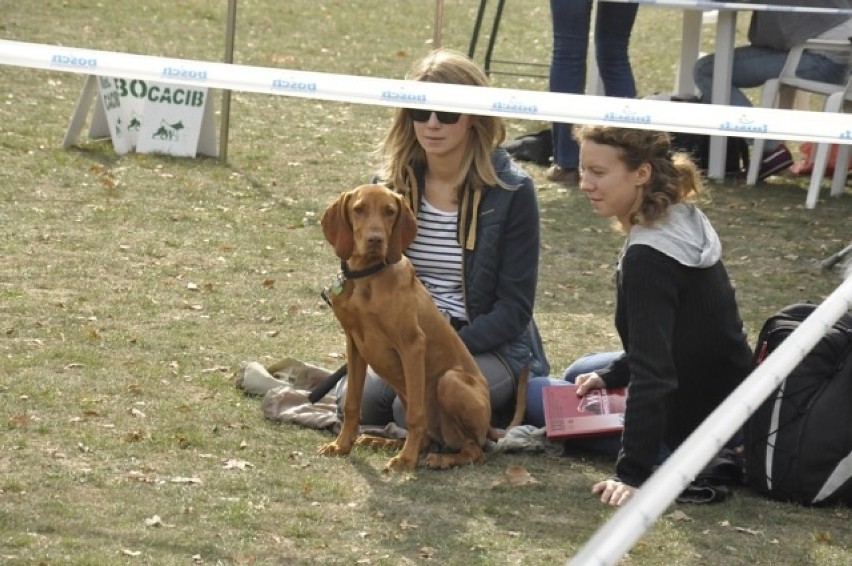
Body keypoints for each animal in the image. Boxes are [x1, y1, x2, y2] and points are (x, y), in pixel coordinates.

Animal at [316, 184, 524, 472]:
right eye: (359, 210)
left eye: (389, 212)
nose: (375, 240)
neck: (368, 277)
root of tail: (491, 426)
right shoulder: (354, 345)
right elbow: (351, 404)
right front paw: (342, 445)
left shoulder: (412, 345)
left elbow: (416, 416)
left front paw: (406, 460)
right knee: (433, 439)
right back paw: (380, 440)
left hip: (450, 381)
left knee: (476, 449)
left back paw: (439, 459)